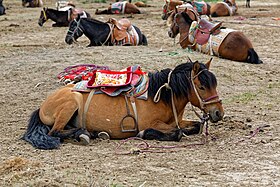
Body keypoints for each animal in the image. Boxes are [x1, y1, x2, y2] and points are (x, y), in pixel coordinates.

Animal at [21, 59, 224, 150]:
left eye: (214, 84)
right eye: (202, 86)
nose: (218, 113)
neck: (162, 96)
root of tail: (43, 105)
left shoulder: (177, 121)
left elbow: (196, 126)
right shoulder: (152, 124)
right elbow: (177, 133)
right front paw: (145, 134)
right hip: (71, 103)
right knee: (54, 132)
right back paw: (86, 134)